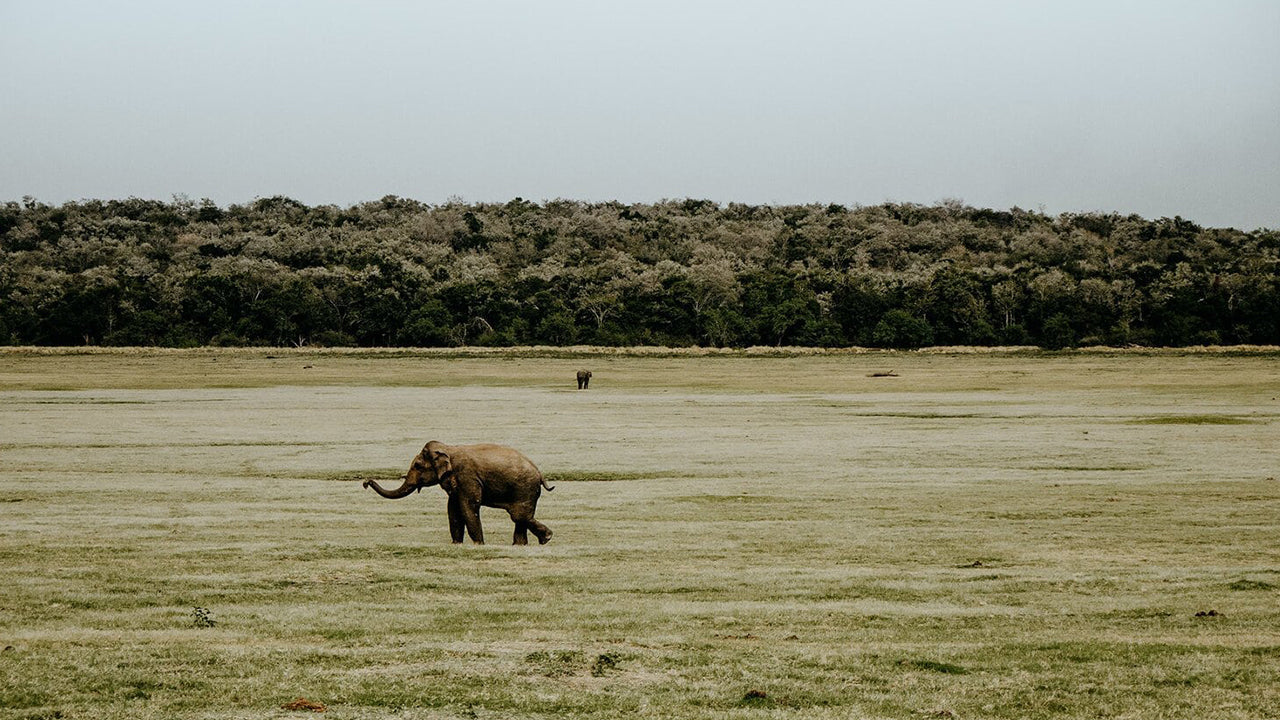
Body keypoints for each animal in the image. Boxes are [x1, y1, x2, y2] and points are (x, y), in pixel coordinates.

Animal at [363, 441, 553, 545]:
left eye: (417, 465)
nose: (366, 482)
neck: (448, 449)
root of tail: (540, 474)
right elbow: (453, 509)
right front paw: (456, 544)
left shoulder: (467, 476)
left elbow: (468, 506)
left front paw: (478, 544)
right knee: (520, 518)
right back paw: (523, 544)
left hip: (525, 489)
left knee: (519, 516)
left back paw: (546, 538)